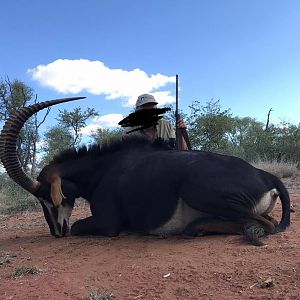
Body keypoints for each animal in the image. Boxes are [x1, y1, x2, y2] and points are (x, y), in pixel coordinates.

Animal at [0, 97, 290, 245]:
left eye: (46, 197)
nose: (56, 232)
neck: (103, 169)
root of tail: (265, 175)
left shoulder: (108, 224)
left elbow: (81, 226)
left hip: (198, 190)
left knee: (266, 223)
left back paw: (250, 232)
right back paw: (196, 227)